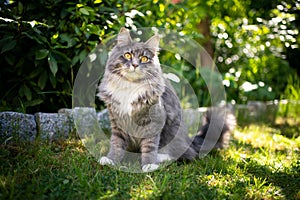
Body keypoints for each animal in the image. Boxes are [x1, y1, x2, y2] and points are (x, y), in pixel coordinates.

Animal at [97, 27, 236, 172]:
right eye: (128, 55)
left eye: (144, 58)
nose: (135, 65)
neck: (131, 86)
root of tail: (190, 141)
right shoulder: (117, 122)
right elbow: (116, 144)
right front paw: (111, 160)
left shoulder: (153, 121)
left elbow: (149, 147)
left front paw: (149, 165)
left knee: (185, 155)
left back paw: (161, 158)